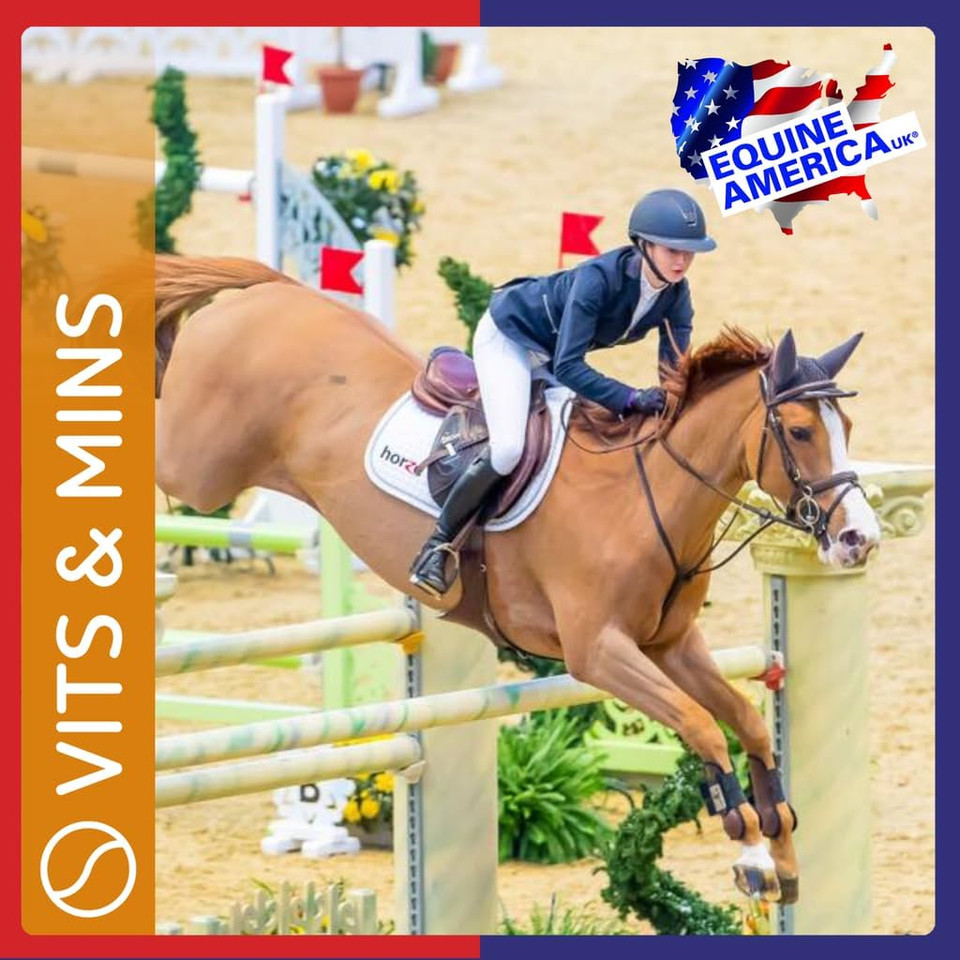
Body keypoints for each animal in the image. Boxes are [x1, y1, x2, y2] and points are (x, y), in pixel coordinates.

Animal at [154, 255, 881, 904]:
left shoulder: (670, 645)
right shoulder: (598, 653)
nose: (859, 539)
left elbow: (749, 725)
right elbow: (702, 725)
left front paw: (782, 853)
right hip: (196, 467)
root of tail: (267, 293)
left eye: (847, 425)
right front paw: (751, 853)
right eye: (798, 432)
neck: (644, 496)